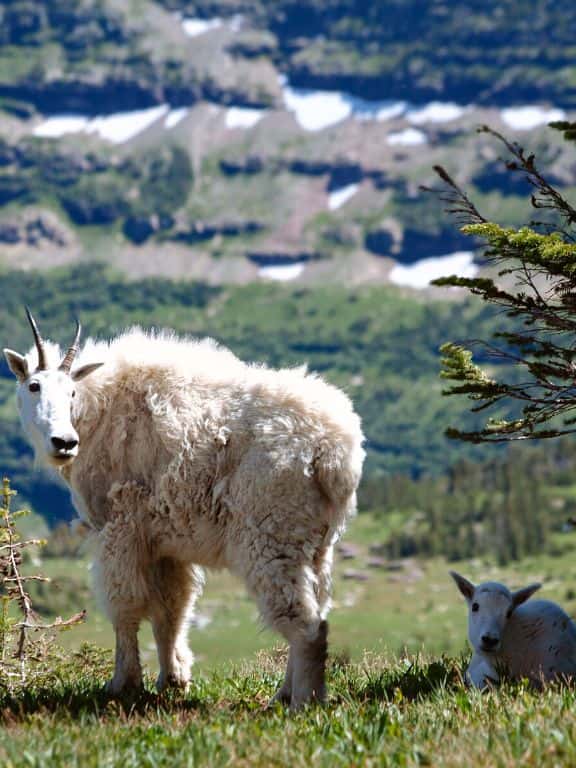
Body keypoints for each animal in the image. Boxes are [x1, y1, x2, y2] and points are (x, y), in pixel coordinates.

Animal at [4, 312, 362, 708]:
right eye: (34, 386)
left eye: (70, 392)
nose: (64, 442)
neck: (98, 412)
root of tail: (335, 452)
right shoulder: (165, 543)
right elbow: (171, 609)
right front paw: (173, 679)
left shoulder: (119, 526)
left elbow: (124, 604)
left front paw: (123, 684)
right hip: (319, 544)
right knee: (315, 608)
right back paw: (283, 695)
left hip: (272, 535)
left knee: (308, 625)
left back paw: (303, 701)